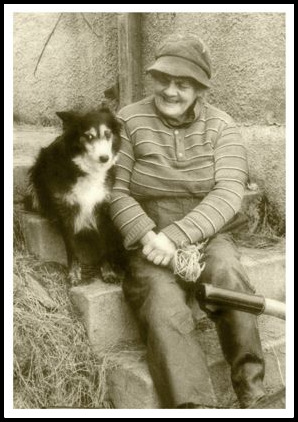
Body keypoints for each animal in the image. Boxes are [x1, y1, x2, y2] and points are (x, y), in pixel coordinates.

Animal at [26, 107, 126, 286]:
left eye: (108, 134)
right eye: (89, 136)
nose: (104, 158)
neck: (87, 169)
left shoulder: (101, 208)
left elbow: (103, 244)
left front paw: (108, 272)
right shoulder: (66, 210)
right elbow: (71, 246)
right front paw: (74, 274)